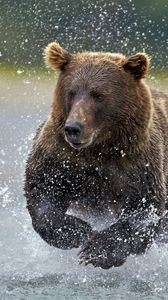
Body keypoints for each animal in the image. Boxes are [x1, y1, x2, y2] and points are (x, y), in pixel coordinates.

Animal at [24, 41, 168, 268]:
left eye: (98, 94)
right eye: (72, 92)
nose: (73, 128)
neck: (99, 148)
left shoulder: (138, 164)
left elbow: (144, 210)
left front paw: (97, 251)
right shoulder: (59, 157)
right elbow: (42, 190)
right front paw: (78, 231)